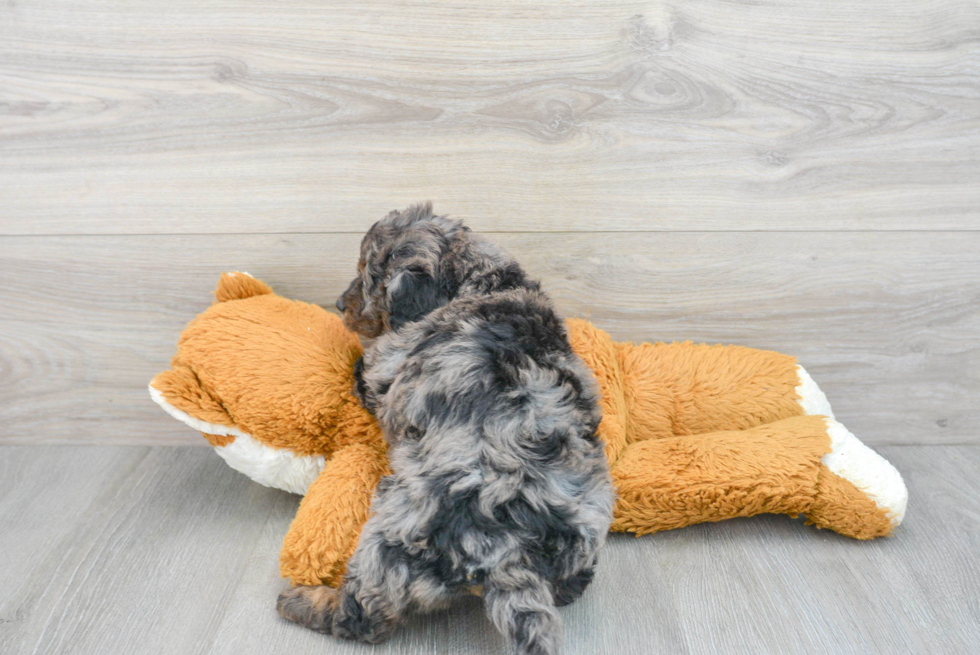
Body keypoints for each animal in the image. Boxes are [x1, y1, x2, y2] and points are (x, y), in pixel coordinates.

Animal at [276, 205, 612, 655]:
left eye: (368, 277)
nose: (339, 303)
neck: (483, 285)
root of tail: (509, 553)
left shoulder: (384, 369)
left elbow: (363, 367)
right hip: (588, 524)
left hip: (391, 537)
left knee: (362, 617)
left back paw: (302, 601)